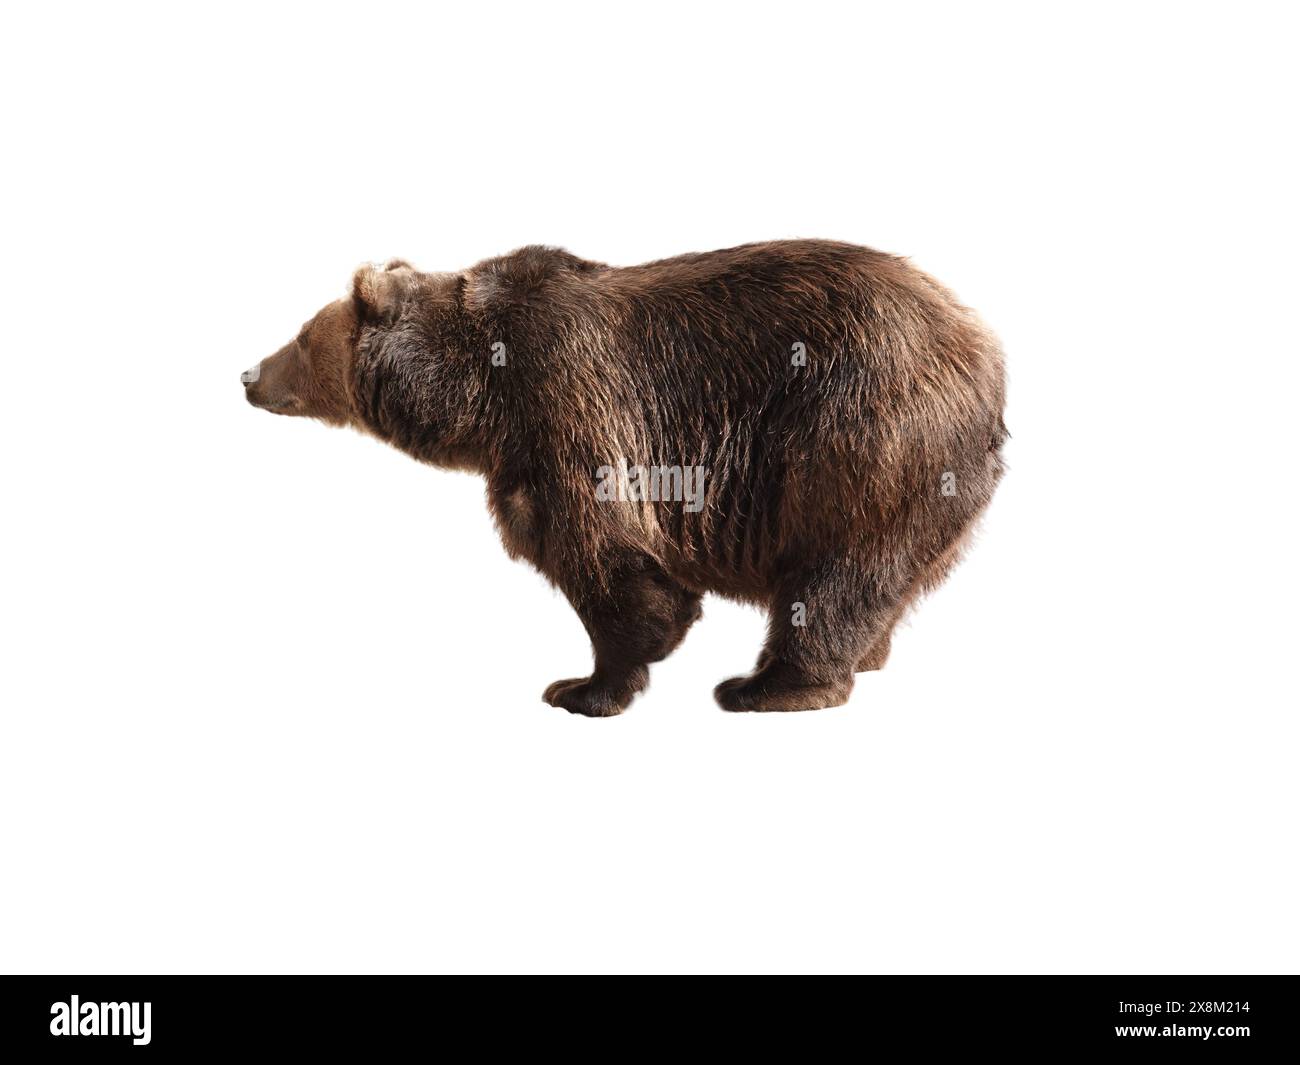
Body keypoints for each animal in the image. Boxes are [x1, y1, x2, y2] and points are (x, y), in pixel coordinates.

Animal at [242, 240, 1007, 714]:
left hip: (861, 429)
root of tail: (984, 348)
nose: (249, 373)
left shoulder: (569, 404)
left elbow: (604, 553)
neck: (479, 396)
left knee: (834, 570)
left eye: (302, 337)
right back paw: (862, 658)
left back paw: (765, 686)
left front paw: (583, 686)